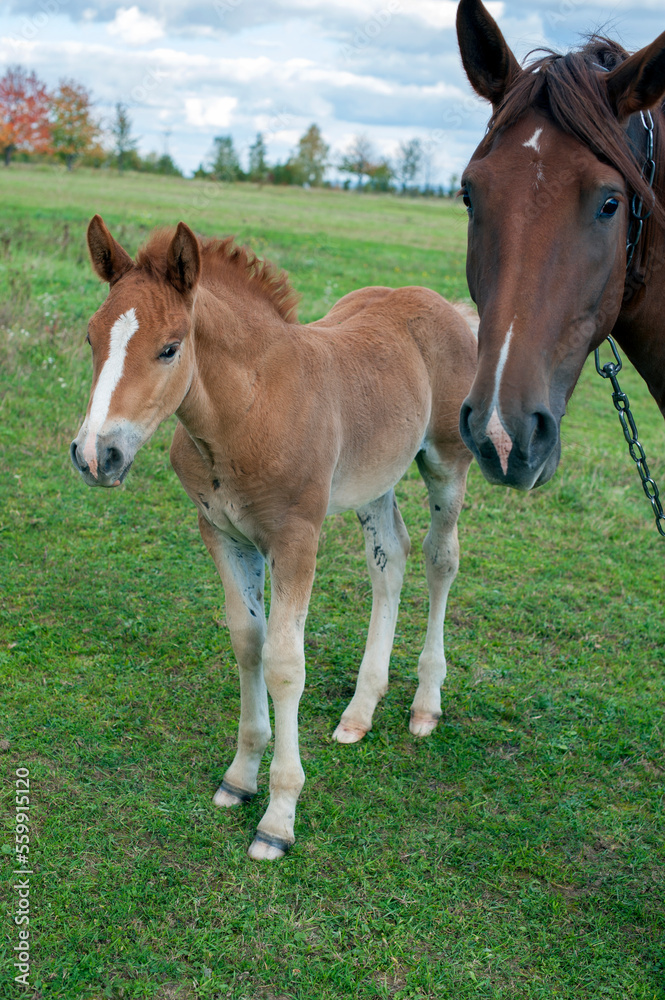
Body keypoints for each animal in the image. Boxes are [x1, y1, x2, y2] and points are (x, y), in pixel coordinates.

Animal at [71, 219, 478, 860]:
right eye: (91, 338)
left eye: (170, 347)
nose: (95, 456)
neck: (248, 409)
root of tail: (444, 305)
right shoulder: (221, 532)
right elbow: (248, 642)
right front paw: (240, 779)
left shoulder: (295, 540)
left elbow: (285, 663)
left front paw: (278, 818)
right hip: (374, 479)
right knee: (390, 559)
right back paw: (359, 712)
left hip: (446, 465)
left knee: (441, 559)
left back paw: (425, 704)